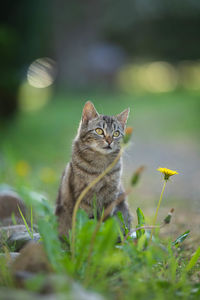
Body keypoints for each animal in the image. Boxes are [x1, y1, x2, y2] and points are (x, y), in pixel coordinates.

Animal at [55, 101, 132, 237]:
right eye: (99, 131)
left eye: (116, 133)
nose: (109, 141)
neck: (99, 166)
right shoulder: (84, 198)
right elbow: (89, 222)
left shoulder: (111, 197)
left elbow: (106, 221)